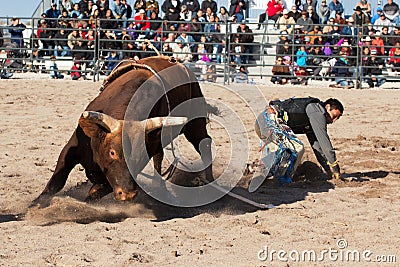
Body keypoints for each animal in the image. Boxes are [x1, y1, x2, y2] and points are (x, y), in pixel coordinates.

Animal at [32, 56, 214, 207]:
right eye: (112, 152)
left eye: (139, 156)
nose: (128, 194)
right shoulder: (73, 146)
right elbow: (56, 181)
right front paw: (34, 205)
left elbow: (95, 192)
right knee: (161, 157)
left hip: (195, 123)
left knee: (204, 144)